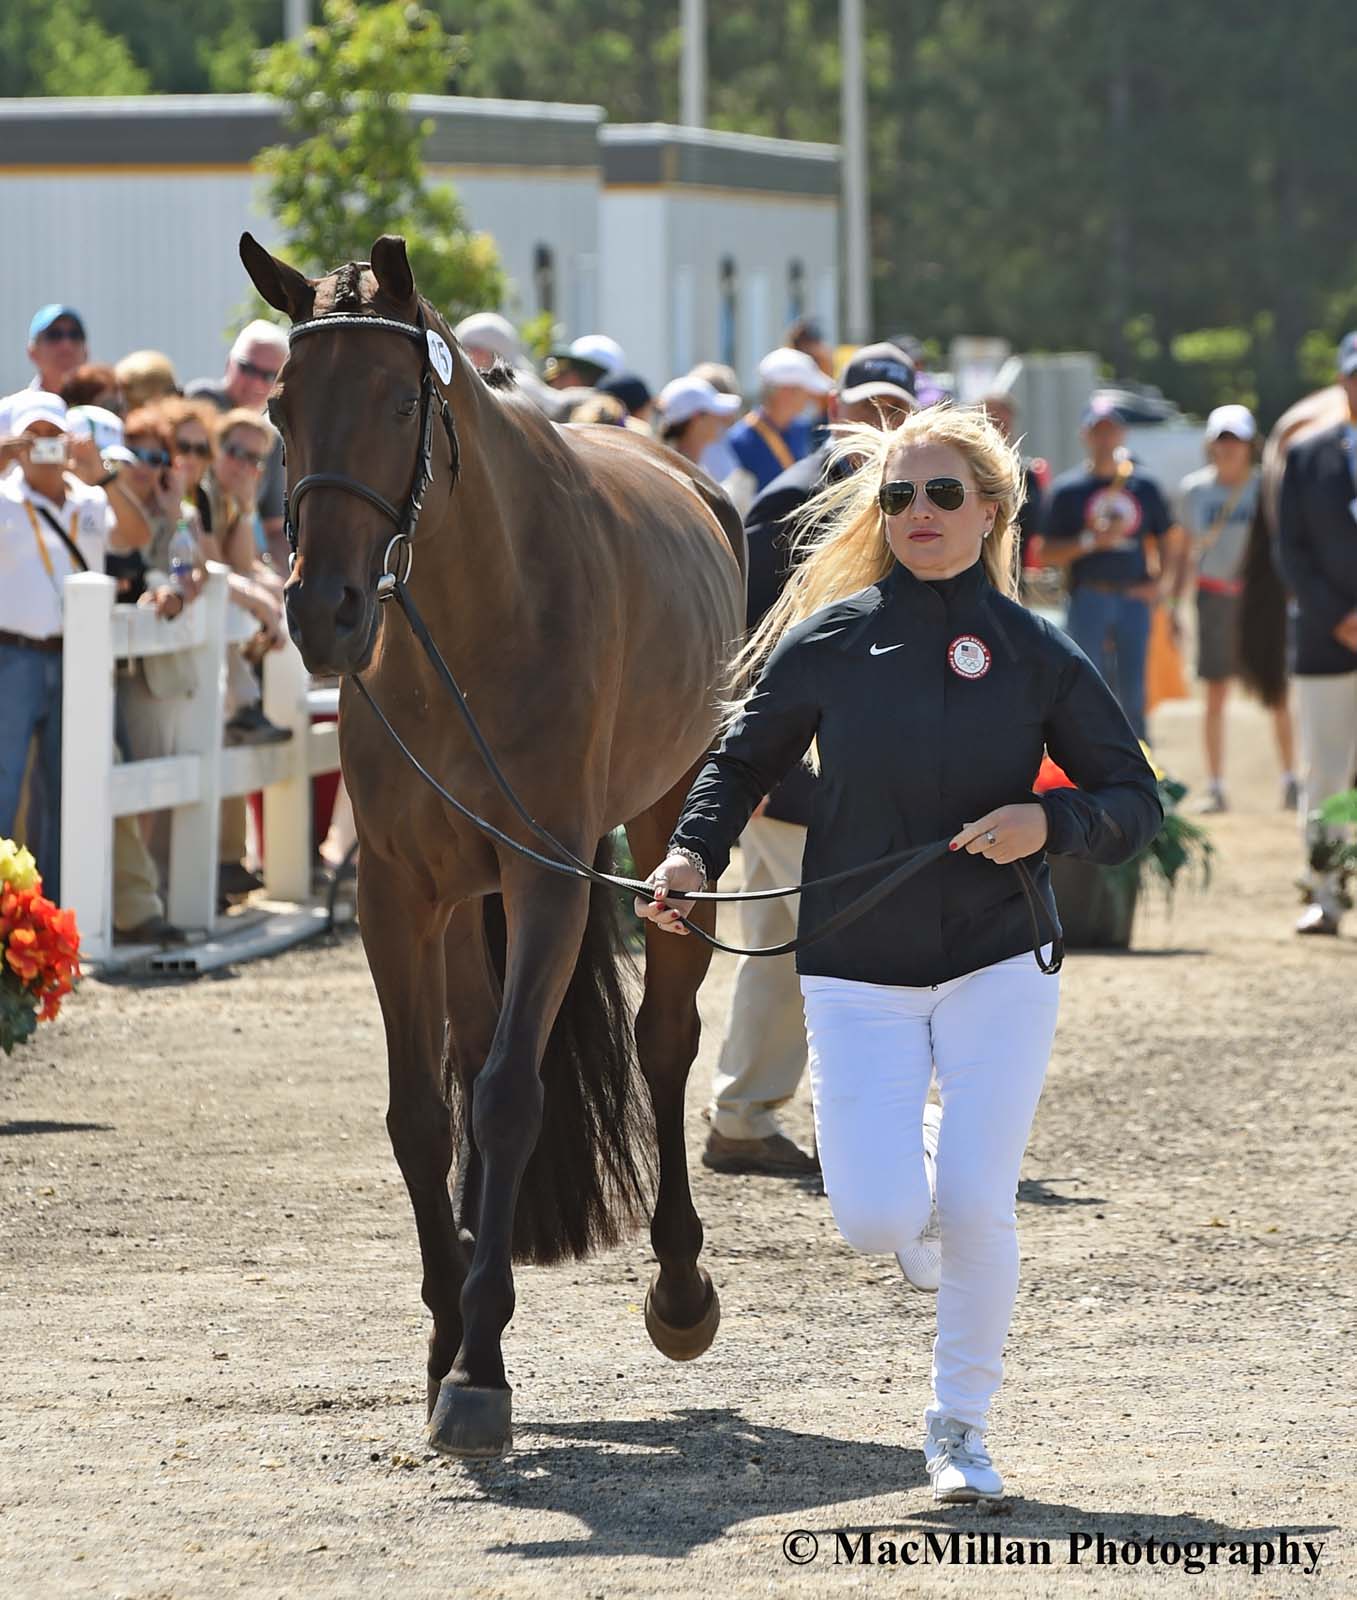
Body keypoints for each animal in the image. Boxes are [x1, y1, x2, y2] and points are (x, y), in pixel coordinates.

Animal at [241, 232, 752, 1459]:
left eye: (397, 399)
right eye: (280, 405)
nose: (322, 612)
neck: (470, 628)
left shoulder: (549, 878)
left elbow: (512, 1095)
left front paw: (477, 1369)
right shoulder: (399, 892)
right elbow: (424, 1113)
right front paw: (449, 1338)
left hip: (668, 829)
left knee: (664, 1040)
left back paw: (677, 1285)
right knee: (474, 1057)